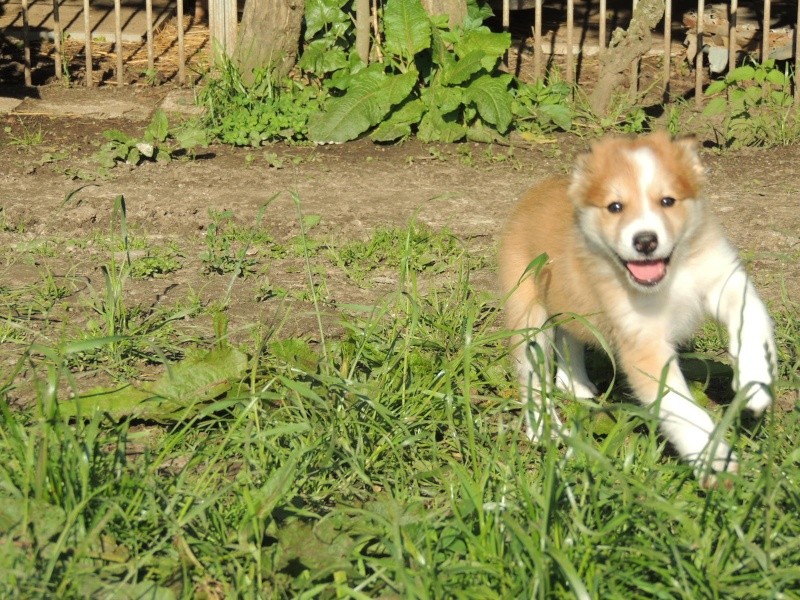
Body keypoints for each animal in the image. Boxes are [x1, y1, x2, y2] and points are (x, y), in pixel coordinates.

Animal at [500, 131, 776, 482]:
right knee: (532, 377)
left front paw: (756, 381)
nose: (645, 241)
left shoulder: (723, 279)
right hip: (529, 315)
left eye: (667, 201)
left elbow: (752, 317)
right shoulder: (643, 344)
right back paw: (544, 430)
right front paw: (714, 459)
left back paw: (576, 385)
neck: (670, 278)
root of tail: (534, 192)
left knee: (570, 336)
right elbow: (682, 409)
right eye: (615, 207)